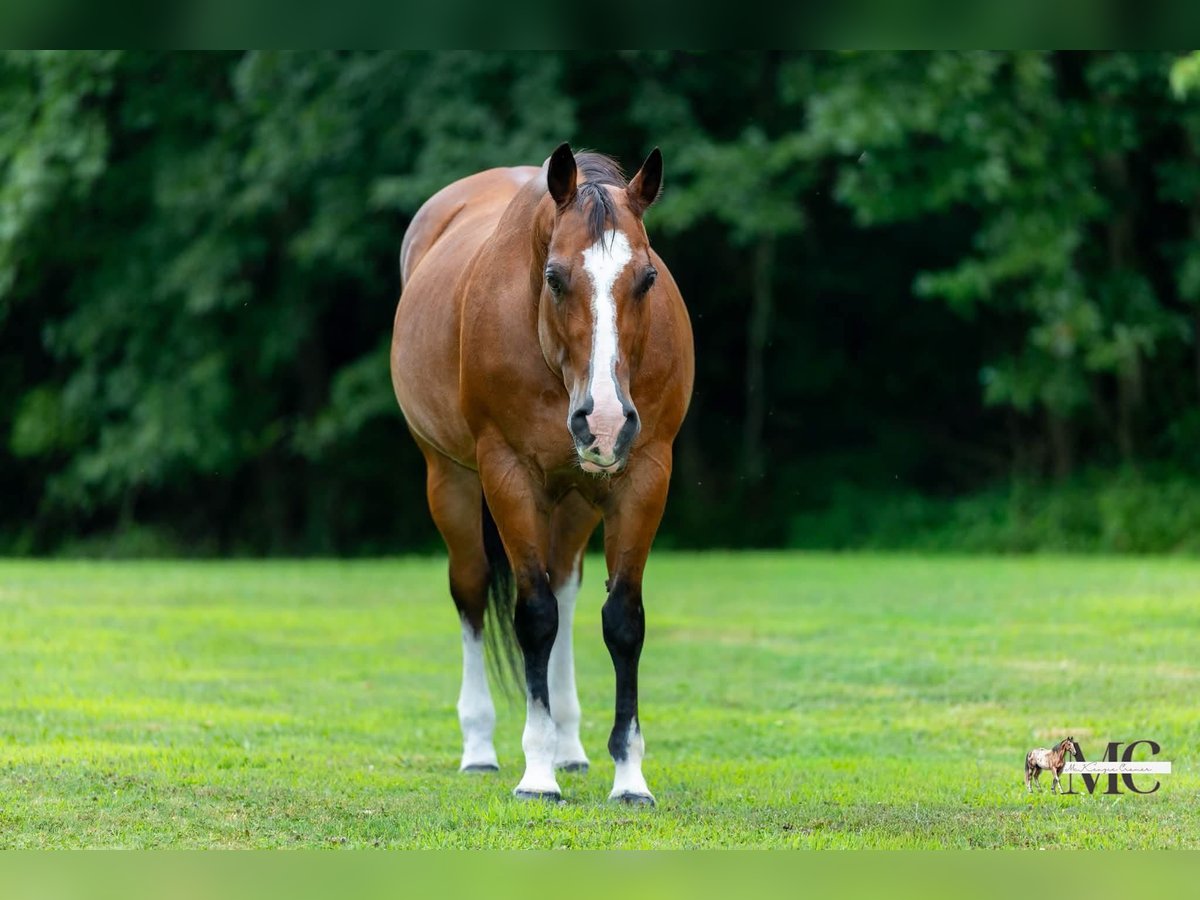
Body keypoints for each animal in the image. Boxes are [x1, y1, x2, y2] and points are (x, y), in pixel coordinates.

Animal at [390, 143, 694, 804]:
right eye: (555, 277)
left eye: (647, 278)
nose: (603, 420)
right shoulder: (509, 476)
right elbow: (533, 617)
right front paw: (537, 773)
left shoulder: (645, 476)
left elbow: (622, 621)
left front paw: (629, 777)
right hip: (449, 479)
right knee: (473, 590)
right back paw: (481, 747)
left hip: (576, 500)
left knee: (565, 588)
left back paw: (570, 745)